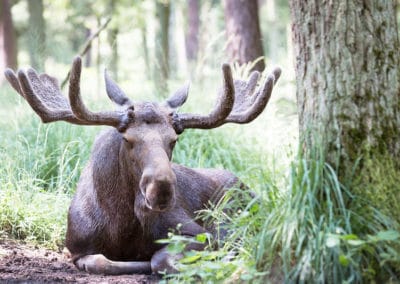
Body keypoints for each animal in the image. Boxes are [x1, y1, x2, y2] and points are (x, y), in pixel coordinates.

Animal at [5, 57, 282, 276]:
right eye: (127, 139)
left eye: (173, 139)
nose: (161, 190)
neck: (119, 224)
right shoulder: (76, 246)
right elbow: (100, 261)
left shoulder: (197, 232)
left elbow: (161, 258)